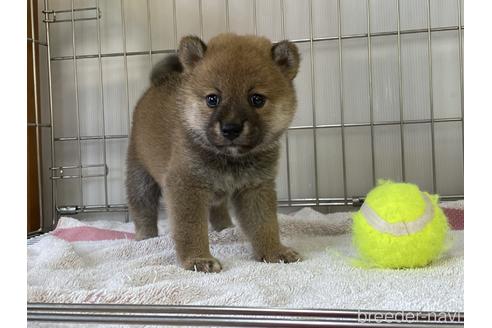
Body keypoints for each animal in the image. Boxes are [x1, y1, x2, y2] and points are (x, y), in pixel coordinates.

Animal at [126, 33, 304, 272]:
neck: (229, 159)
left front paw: (274, 252)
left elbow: (265, 224)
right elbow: (190, 228)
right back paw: (146, 237)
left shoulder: (255, 188)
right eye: (213, 99)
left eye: (257, 99)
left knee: (217, 209)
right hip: (140, 177)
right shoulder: (187, 186)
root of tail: (159, 81)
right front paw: (197, 259)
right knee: (142, 209)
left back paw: (225, 229)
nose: (231, 128)